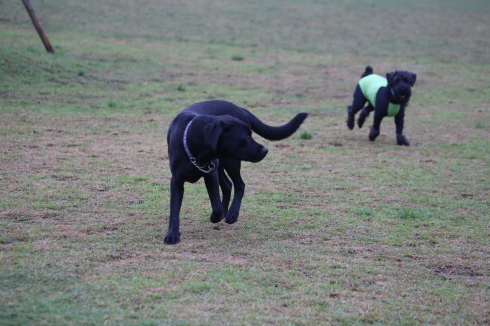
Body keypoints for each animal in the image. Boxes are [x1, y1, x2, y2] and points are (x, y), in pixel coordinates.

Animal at [167, 100, 308, 244]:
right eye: (246, 138)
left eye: (250, 136)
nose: (265, 150)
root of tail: (239, 107)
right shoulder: (177, 180)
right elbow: (175, 208)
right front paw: (172, 235)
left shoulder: (210, 174)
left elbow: (216, 206)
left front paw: (216, 216)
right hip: (223, 163)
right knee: (228, 185)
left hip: (231, 161)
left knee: (239, 185)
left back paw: (232, 215)